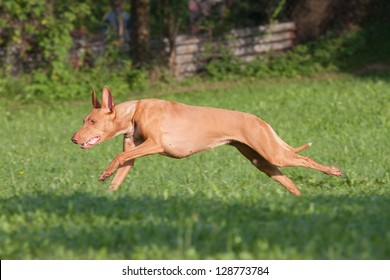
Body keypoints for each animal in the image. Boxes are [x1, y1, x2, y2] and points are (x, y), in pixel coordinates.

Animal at [71, 86, 342, 196]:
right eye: (84, 119)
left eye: (92, 121)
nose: (73, 139)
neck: (134, 112)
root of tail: (259, 120)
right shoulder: (133, 156)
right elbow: (121, 170)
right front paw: (107, 192)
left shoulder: (155, 144)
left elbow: (118, 156)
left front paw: (105, 172)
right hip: (261, 161)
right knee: (289, 182)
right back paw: (300, 198)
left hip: (274, 154)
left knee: (305, 159)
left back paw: (333, 171)